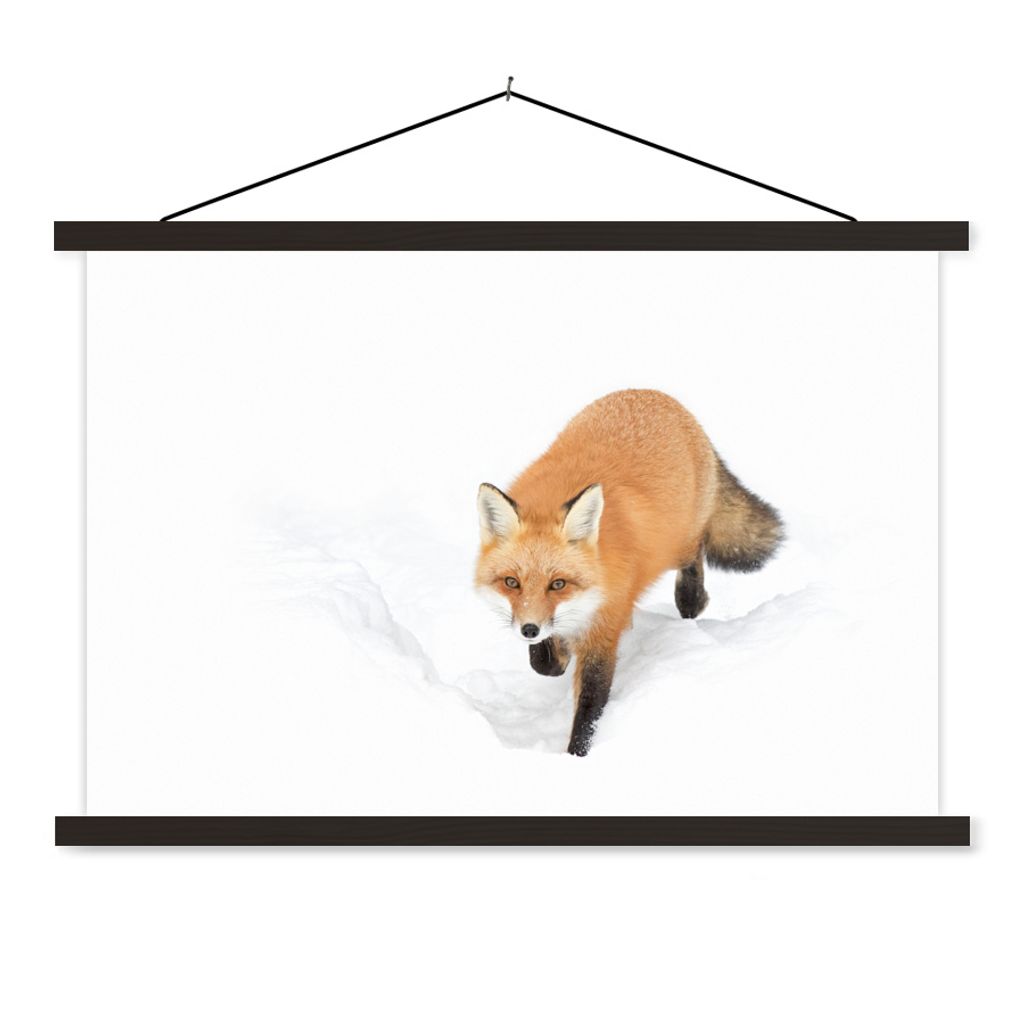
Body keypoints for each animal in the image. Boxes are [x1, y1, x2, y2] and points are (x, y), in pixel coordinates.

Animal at [475, 388, 784, 757]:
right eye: (511, 582)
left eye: (558, 584)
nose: (529, 630)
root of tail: (655, 395)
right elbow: (545, 663)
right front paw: (557, 653)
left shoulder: (605, 629)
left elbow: (590, 706)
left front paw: (577, 755)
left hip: (677, 543)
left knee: (696, 553)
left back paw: (693, 600)